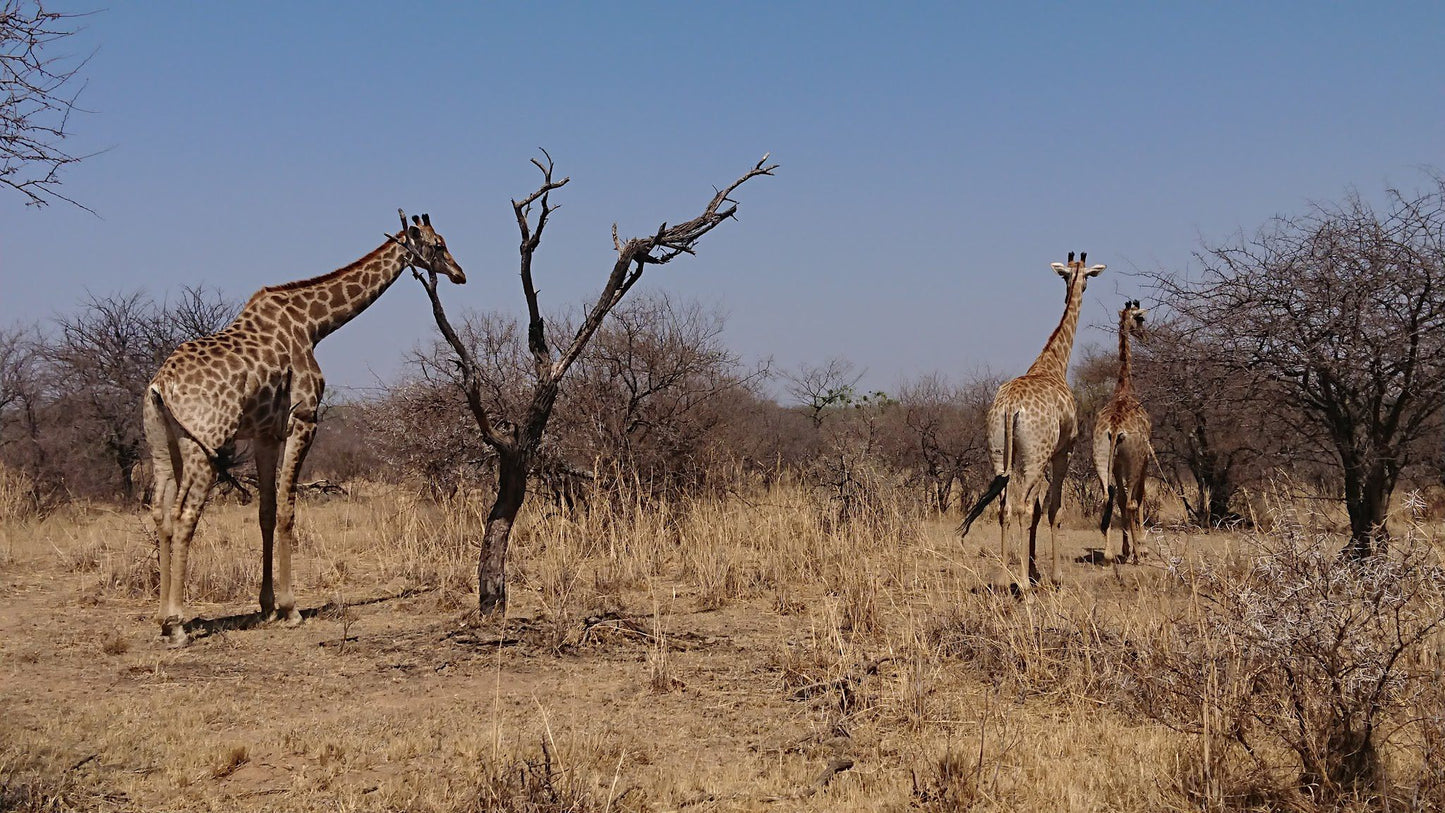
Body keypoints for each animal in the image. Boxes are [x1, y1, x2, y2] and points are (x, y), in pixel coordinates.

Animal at [143, 213, 465, 646]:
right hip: (204, 443)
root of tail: (160, 386)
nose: (460, 273)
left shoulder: (265, 433)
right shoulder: (304, 419)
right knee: (183, 515)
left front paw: (266, 607)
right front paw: (290, 609)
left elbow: (265, 511)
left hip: (162, 443)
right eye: (438, 244)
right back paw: (178, 624)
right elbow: (288, 511)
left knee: (160, 513)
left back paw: (163, 618)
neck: (313, 324)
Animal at [959, 249, 1103, 592]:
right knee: (1021, 506)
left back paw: (1001, 578)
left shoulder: (1038, 455)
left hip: (999, 451)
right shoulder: (1064, 451)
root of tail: (1011, 407)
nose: (1078, 288)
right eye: (1086, 278)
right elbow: (1052, 509)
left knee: (1004, 506)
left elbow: (1037, 509)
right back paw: (1021, 584)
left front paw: (1035, 570)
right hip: (1033, 456)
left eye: (1073, 276)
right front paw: (1052, 576)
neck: (1053, 363)